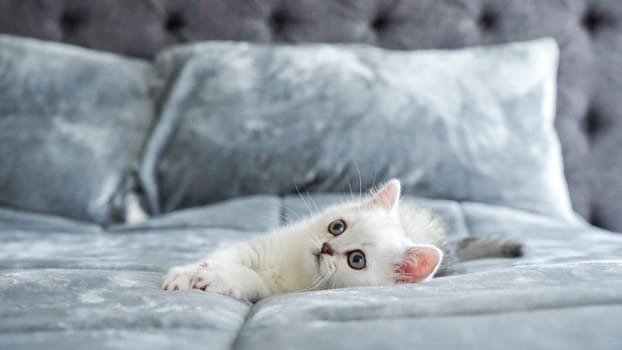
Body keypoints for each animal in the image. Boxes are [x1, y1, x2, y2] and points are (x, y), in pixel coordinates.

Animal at [162, 179, 520, 302]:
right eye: (337, 227)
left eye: (356, 260)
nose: (326, 247)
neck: (294, 266)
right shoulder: (260, 246)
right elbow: (227, 255)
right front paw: (188, 273)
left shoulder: (277, 289)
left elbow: (249, 279)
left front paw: (217, 279)